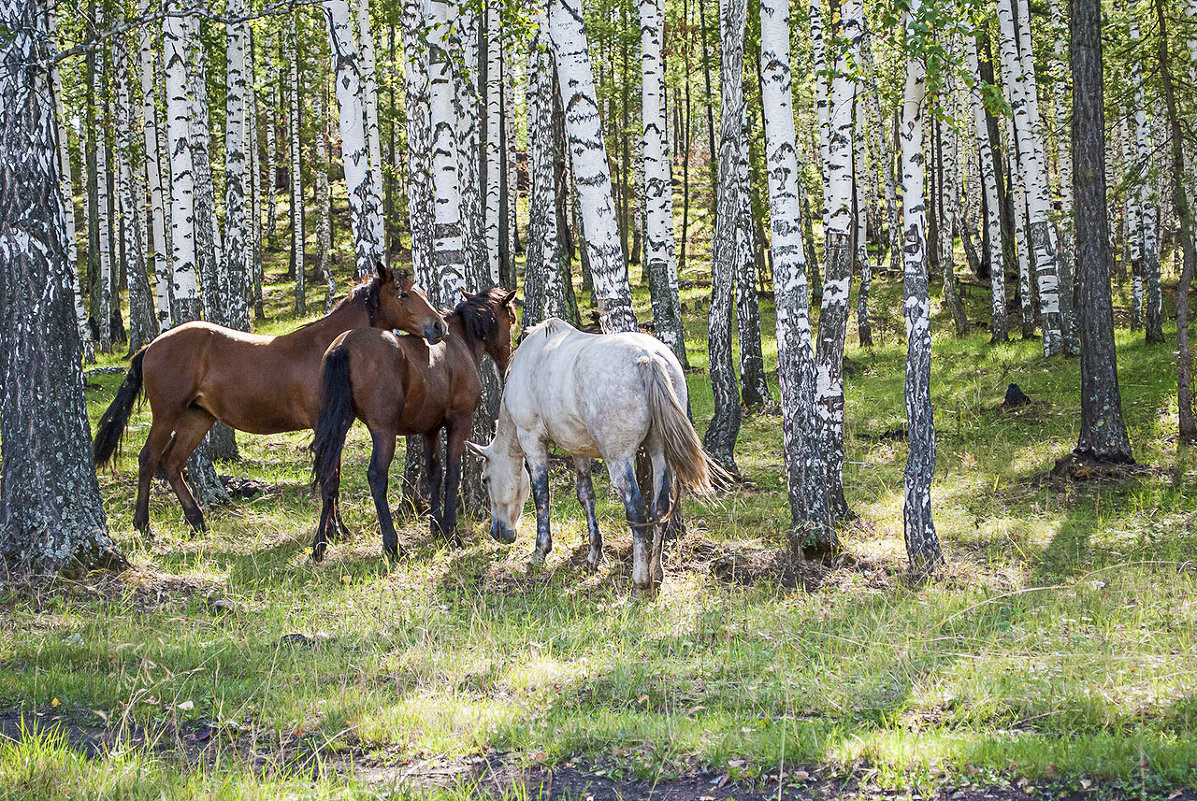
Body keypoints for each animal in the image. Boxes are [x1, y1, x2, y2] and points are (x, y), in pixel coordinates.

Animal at [93, 263, 447, 536]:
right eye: (403, 294)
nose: (439, 325)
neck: (332, 349)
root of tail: (152, 346)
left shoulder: (338, 426)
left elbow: (334, 474)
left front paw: (339, 529)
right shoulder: (326, 425)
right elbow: (329, 476)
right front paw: (335, 531)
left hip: (198, 417)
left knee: (172, 462)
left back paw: (197, 521)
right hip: (167, 414)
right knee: (149, 459)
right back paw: (143, 524)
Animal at [311, 283, 517, 560]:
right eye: (511, 318)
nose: (507, 364)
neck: (458, 344)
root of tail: (343, 346)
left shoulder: (430, 429)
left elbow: (434, 473)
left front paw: (437, 527)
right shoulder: (459, 423)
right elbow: (452, 473)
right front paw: (451, 531)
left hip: (339, 426)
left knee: (328, 475)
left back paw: (319, 544)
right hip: (383, 432)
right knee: (376, 476)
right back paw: (392, 544)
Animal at [466, 316, 718, 596]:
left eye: (485, 479)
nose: (497, 532)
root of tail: (648, 357)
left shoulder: (532, 440)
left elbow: (541, 495)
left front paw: (540, 552)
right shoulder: (578, 449)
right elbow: (586, 495)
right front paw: (594, 554)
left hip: (619, 459)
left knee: (636, 511)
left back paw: (640, 581)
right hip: (659, 452)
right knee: (660, 506)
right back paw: (657, 575)